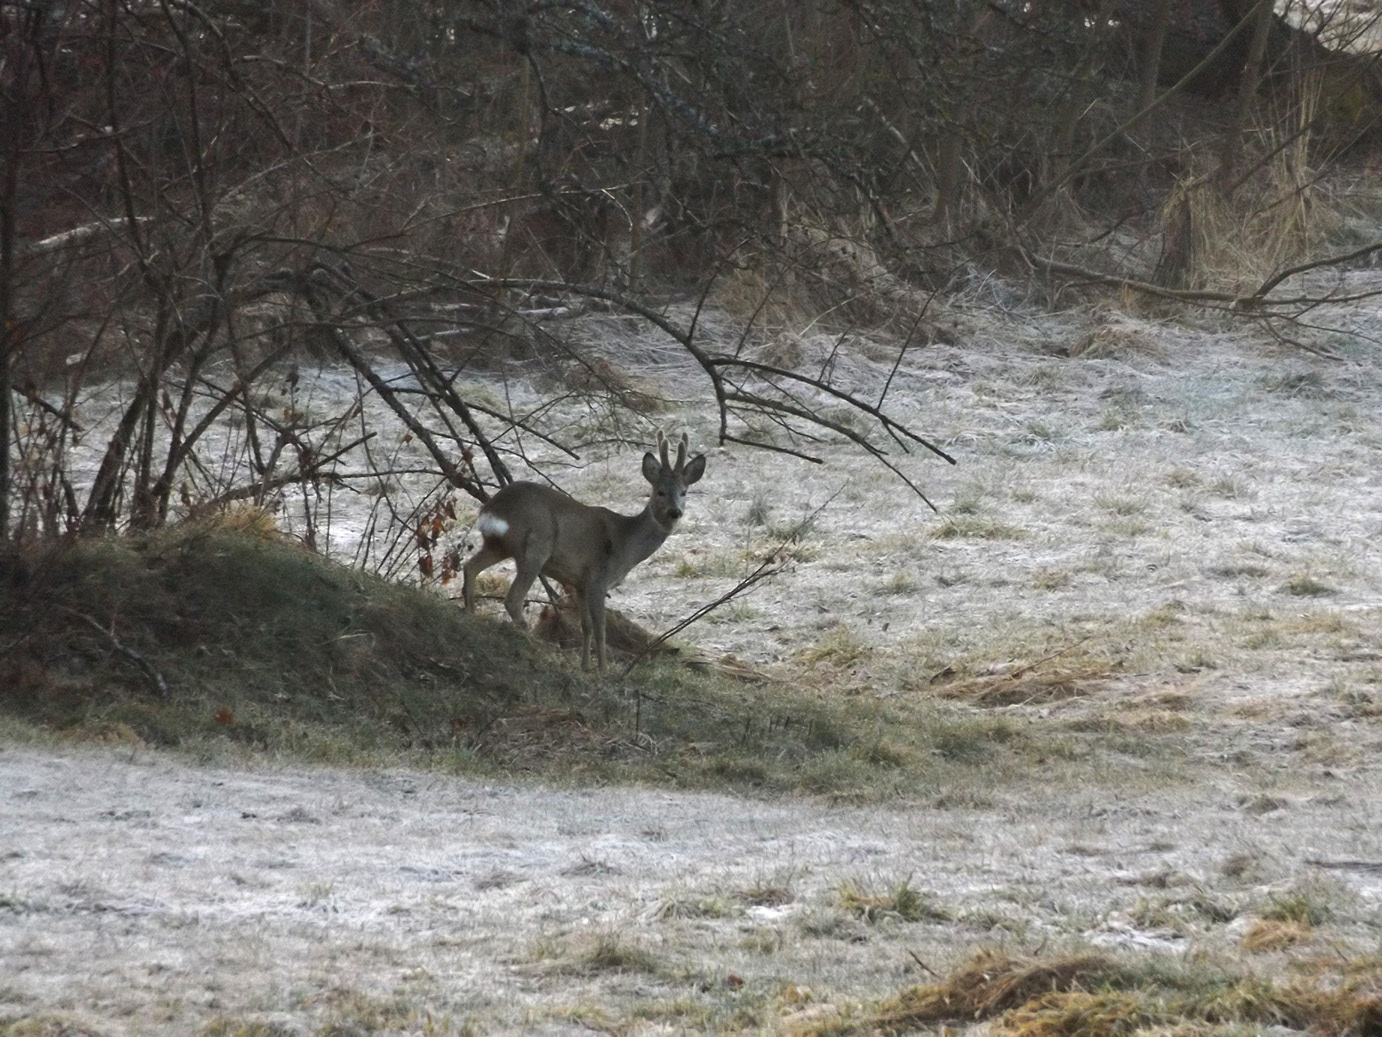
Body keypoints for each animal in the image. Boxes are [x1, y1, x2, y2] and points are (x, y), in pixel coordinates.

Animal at [464, 431, 707, 669]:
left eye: (684, 492)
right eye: (660, 492)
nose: (675, 512)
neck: (626, 543)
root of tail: (492, 508)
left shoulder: (579, 583)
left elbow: (586, 625)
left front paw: (585, 668)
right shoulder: (598, 579)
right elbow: (601, 629)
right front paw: (603, 671)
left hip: (498, 545)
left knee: (470, 567)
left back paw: (471, 616)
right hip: (536, 545)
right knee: (513, 599)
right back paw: (531, 643)